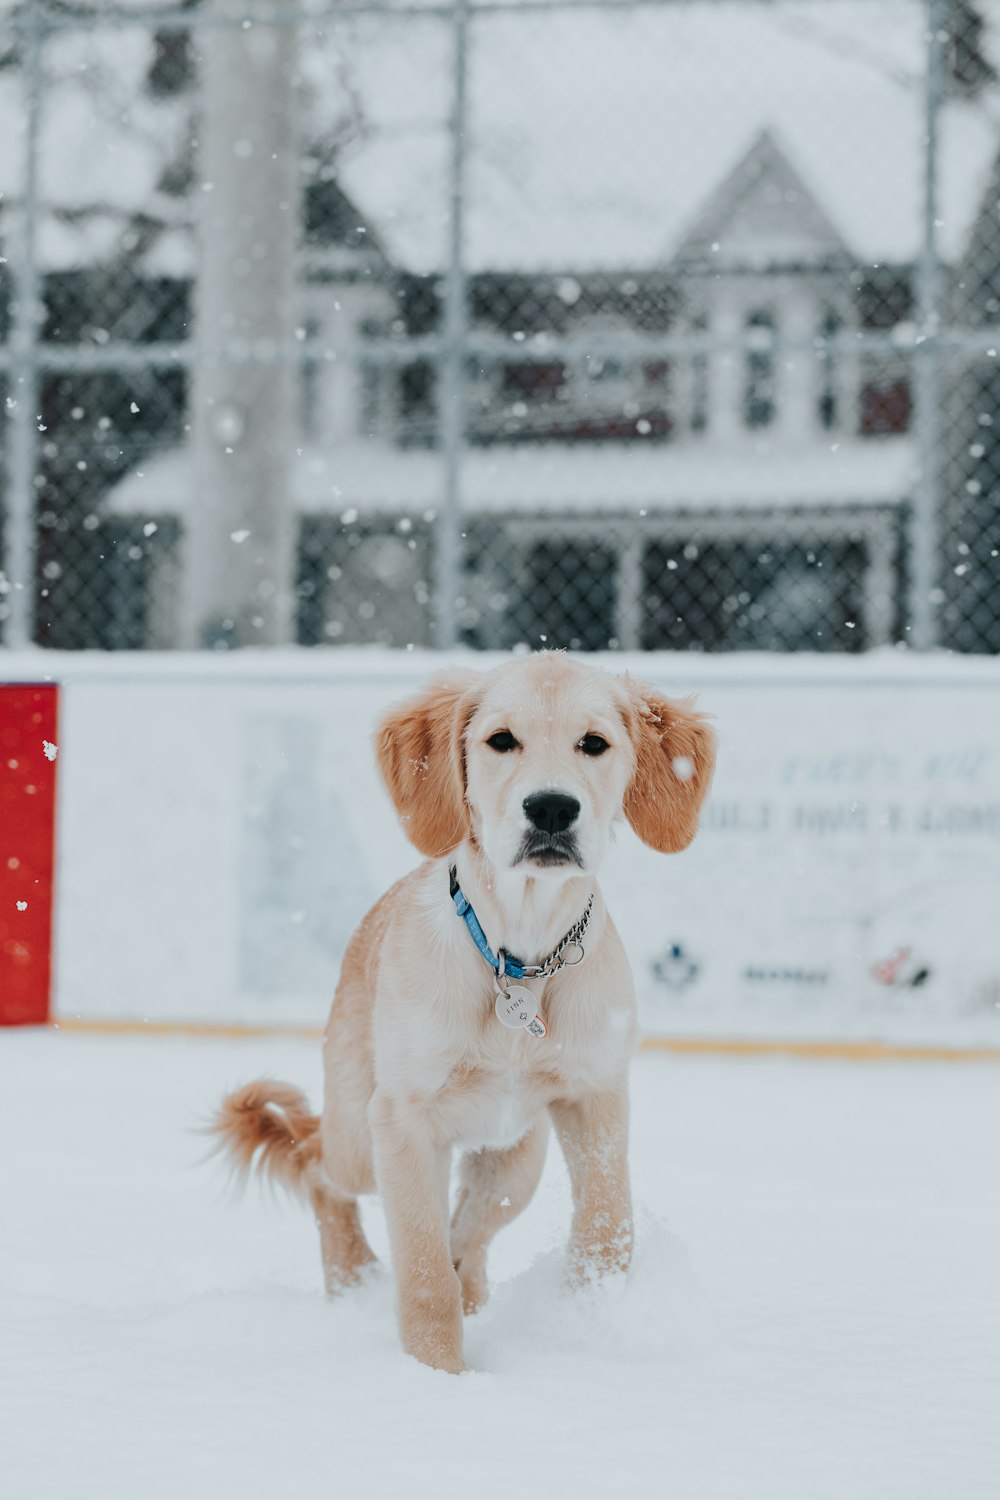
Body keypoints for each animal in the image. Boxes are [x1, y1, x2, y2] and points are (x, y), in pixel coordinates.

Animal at [212, 657, 710, 1374]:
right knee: (318, 1169)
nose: (552, 807)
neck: (519, 959)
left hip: (514, 1157)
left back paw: (469, 1290)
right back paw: (352, 1276)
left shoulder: (596, 1093)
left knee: (471, 1227)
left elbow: (607, 1222)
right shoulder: (403, 1122)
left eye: (594, 743)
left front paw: (593, 1313)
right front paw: (437, 1375)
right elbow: (421, 1268)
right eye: (501, 740)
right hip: (358, 1133)